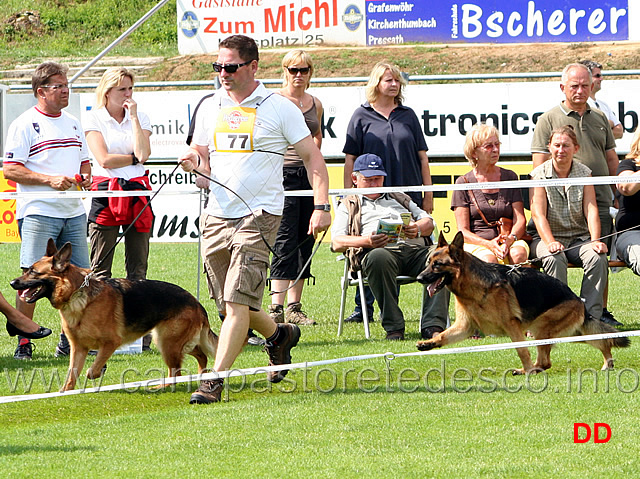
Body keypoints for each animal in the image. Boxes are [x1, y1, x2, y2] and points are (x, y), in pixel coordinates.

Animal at [10, 240, 218, 394]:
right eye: (27, 269)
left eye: (33, 272)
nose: (12, 282)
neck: (77, 294)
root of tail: (196, 302)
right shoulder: (78, 348)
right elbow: (72, 374)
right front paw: (65, 392)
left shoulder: (110, 343)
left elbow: (92, 369)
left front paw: (95, 374)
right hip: (171, 342)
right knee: (200, 355)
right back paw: (201, 375)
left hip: (168, 343)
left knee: (178, 370)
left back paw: (165, 385)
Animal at [416, 232, 632, 376]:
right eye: (428, 263)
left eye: (437, 265)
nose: (419, 278)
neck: (475, 285)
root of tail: (579, 301)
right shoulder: (465, 327)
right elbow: (444, 336)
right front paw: (429, 343)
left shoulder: (512, 326)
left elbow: (521, 350)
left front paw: (527, 370)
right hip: (570, 333)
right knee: (598, 340)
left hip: (544, 330)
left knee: (546, 361)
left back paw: (531, 370)